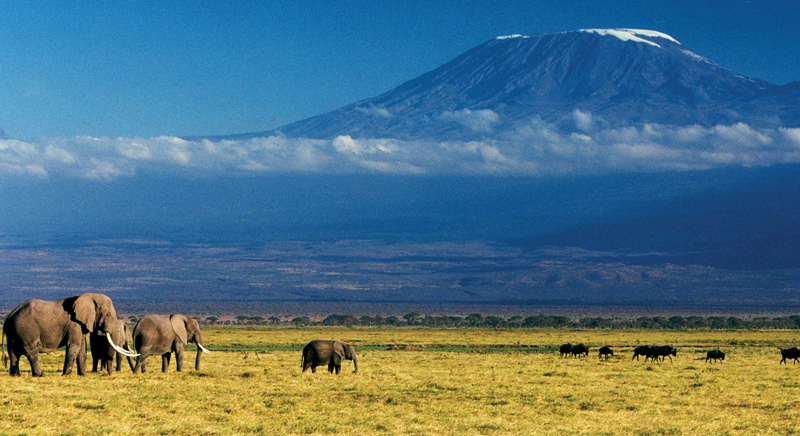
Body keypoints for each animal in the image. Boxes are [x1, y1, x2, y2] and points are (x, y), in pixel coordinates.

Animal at [0, 292, 138, 374]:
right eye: (108, 314)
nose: (109, 374)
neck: (89, 296)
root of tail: (9, 317)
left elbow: (82, 348)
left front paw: (82, 375)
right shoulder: (74, 324)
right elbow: (74, 346)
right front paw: (66, 374)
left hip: (14, 332)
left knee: (13, 353)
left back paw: (15, 375)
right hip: (26, 329)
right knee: (31, 350)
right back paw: (40, 375)